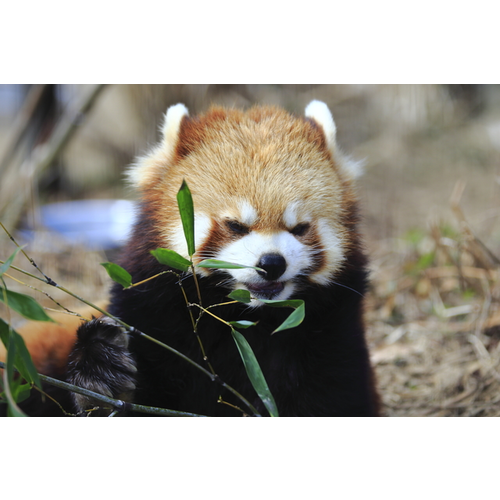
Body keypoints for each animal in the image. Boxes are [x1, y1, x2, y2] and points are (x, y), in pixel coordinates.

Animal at [2, 99, 378, 416]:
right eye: (235, 226)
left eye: (299, 228)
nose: (272, 264)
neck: (244, 318)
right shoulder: (152, 317)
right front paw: (101, 369)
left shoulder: (330, 332)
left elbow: (336, 398)